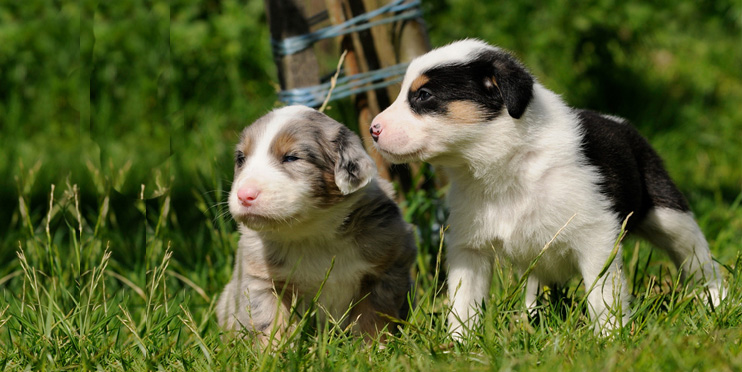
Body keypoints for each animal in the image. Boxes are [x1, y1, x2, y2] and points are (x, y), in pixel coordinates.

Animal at [221, 104, 418, 342]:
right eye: (241, 159)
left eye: (291, 157)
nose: (244, 195)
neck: (313, 233)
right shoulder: (262, 280)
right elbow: (271, 322)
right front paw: (274, 350)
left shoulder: (388, 265)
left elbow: (374, 315)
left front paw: (374, 346)